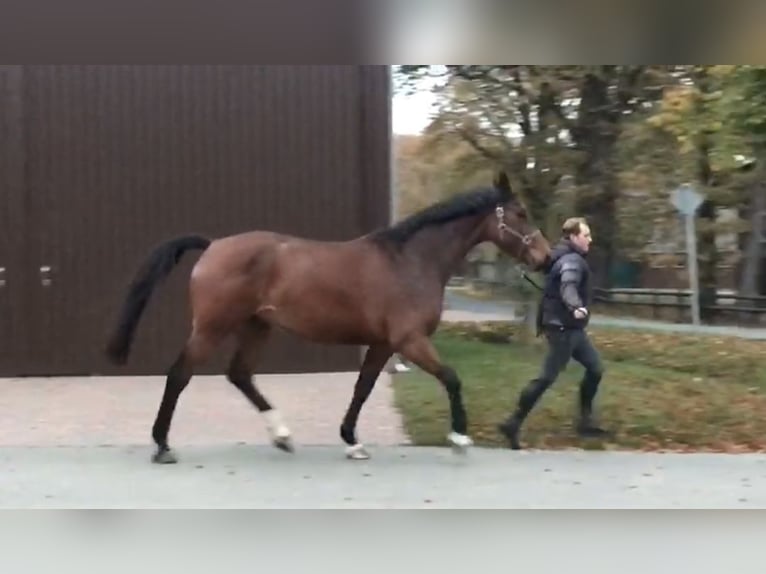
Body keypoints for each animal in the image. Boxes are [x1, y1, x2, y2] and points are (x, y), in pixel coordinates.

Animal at [104, 170, 551, 464]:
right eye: (520, 213)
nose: (545, 258)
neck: (410, 260)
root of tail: (213, 245)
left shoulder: (383, 344)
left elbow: (363, 389)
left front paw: (352, 441)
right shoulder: (408, 340)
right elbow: (452, 378)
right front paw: (459, 437)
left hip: (256, 326)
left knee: (240, 375)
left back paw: (282, 436)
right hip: (213, 327)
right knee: (179, 374)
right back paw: (163, 446)